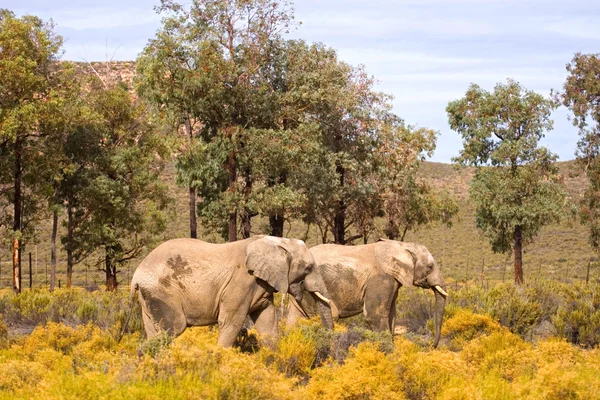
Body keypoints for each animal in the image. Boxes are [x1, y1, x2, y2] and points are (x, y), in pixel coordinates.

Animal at [131, 236, 332, 346]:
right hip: (163, 292)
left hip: (149, 297)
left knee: (153, 332)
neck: (279, 241)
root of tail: (136, 275)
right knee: (173, 327)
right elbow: (231, 322)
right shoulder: (240, 283)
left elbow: (267, 323)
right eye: (308, 268)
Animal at [288, 239, 450, 348]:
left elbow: (391, 316)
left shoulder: (393, 282)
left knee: (296, 319)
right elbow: (374, 316)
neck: (401, 245)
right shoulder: (381, 279)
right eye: (430, 267)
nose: (432, 345)